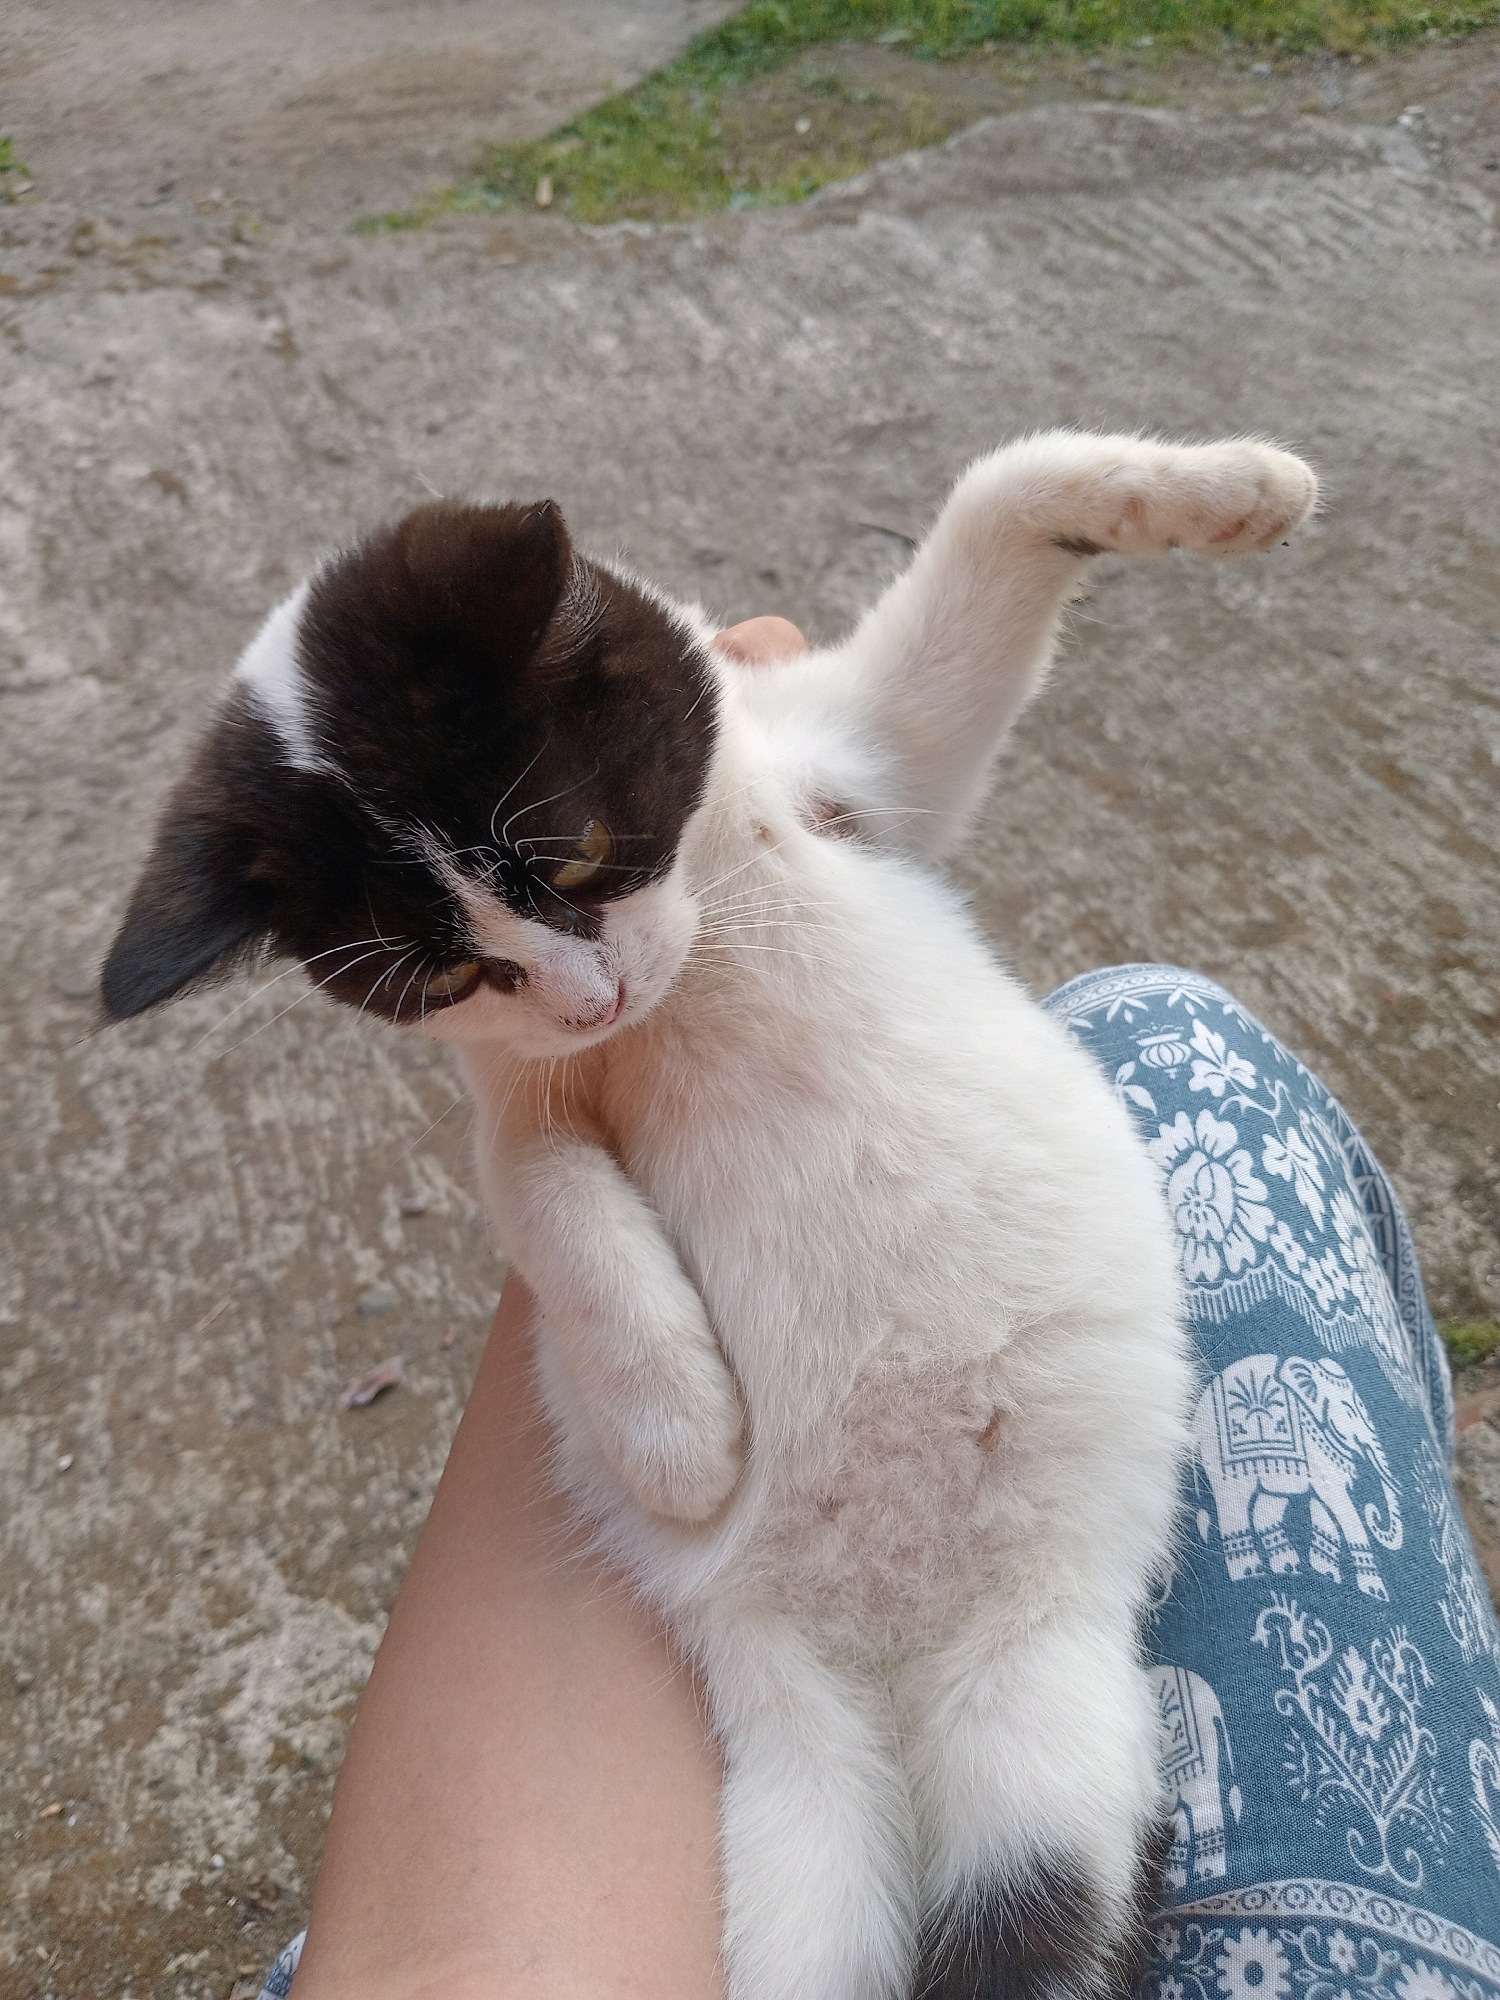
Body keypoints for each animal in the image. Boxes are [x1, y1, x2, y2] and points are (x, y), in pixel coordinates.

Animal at [1193, 1353, 1402, 1600]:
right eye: (1349, 1410)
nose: (1374, 1514)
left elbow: (1324, 1511)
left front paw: (1327, 1574)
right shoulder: (1317, 1455)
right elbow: (1341, 1508)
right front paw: (1375, 1591)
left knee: (1269, 1508)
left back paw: (1287, 1568)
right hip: (1219, 1458)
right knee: (1234, 1506)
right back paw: (1250, 1572)